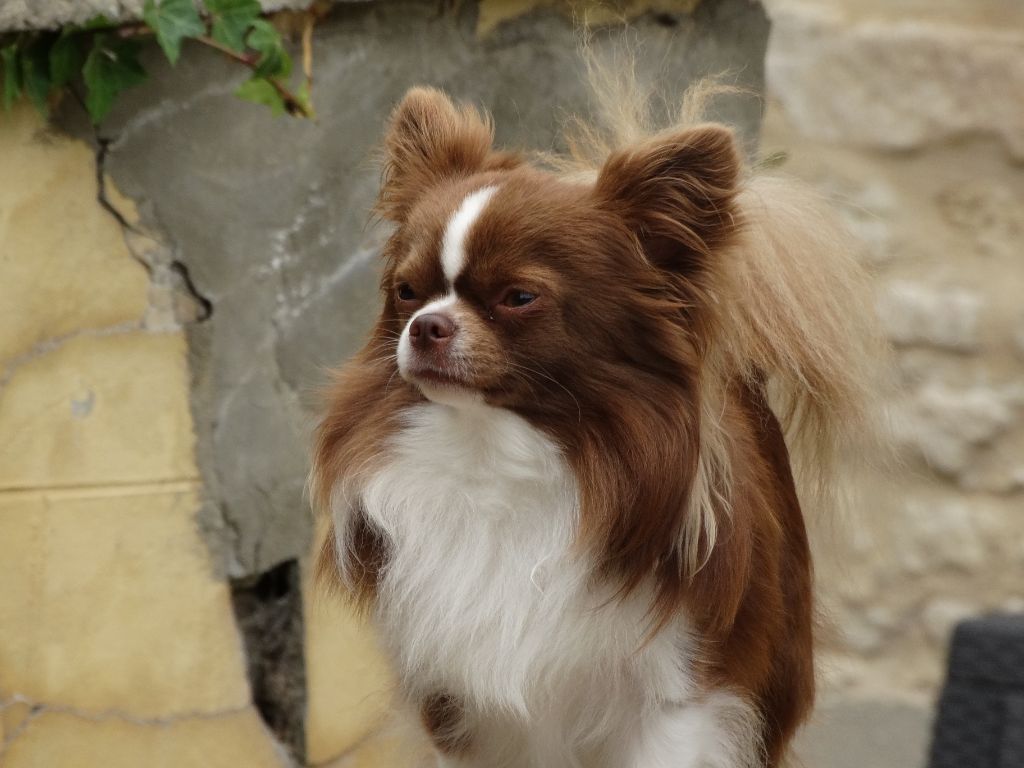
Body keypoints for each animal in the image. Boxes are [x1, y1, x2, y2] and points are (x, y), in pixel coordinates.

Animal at [312, 75, 880, 767]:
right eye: (407, 292)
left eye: (519, 297)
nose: (425, 326)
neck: (495, 454)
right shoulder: (459, 706)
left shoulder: (678, 695)